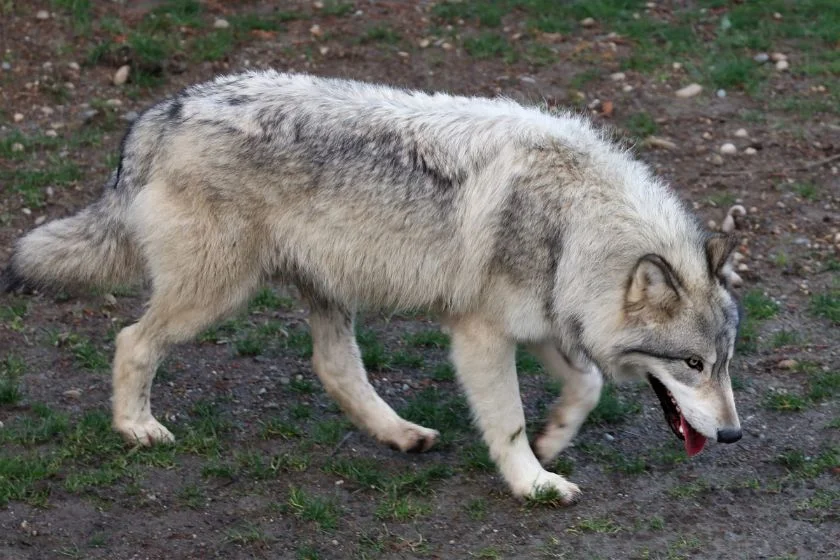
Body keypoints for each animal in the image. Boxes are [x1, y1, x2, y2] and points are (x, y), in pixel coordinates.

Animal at [4, 71, 740, 504]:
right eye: (692, 364)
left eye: (725, 363)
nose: (733, 436)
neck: (574, 222)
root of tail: (162, 112)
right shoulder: (481, 336)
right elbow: (507, 422)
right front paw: (533, 482)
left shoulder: (546, 322)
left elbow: (585, 386)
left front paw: (554, 442)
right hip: (213, 296)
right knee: (132, 339)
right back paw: (137, 428)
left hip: (325, 293)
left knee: (334, 369)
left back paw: (401, 435)